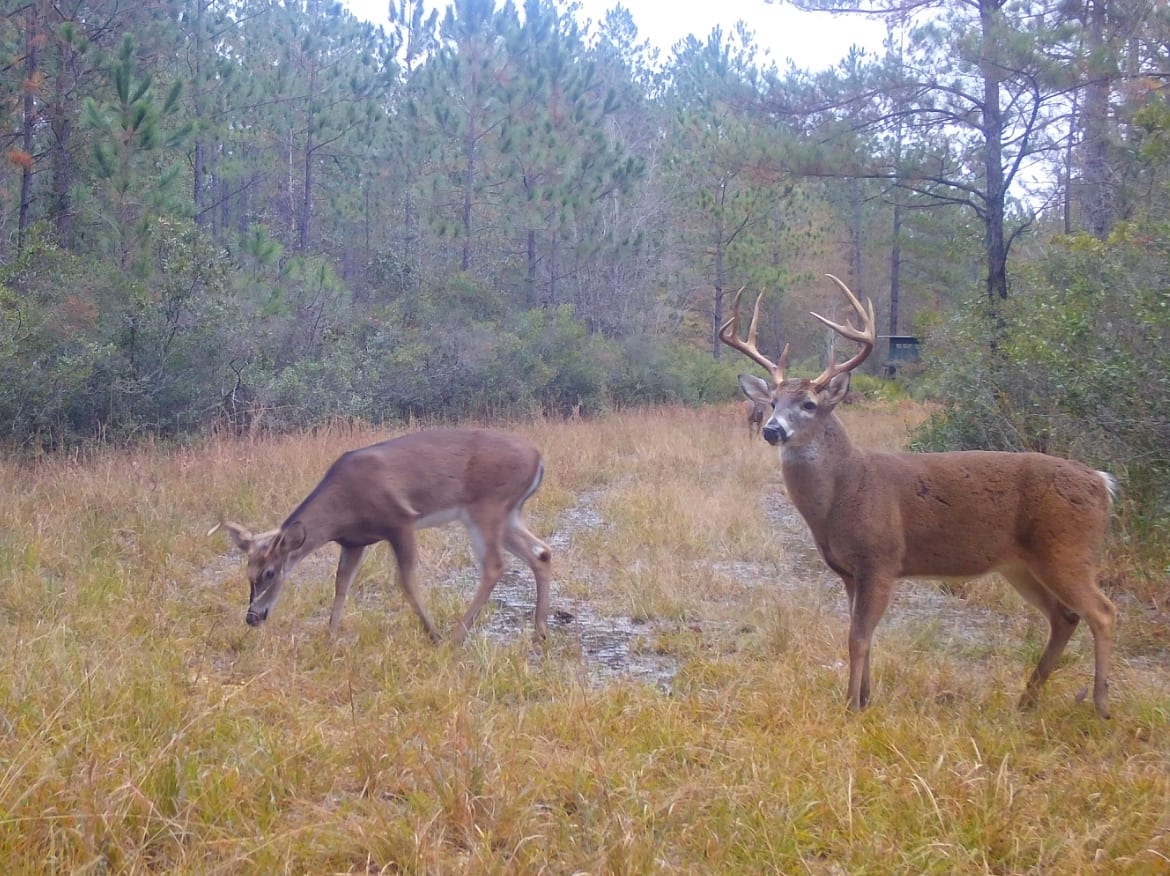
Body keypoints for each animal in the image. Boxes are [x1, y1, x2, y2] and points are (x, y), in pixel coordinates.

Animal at [210, 428, 554, 644]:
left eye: (270, 573)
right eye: (248, 573)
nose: (252, 618)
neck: (343, 508)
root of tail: (539, 459)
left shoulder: (400, 521)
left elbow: (406, 580)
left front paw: (432, 634)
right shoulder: (354, 541)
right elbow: (341, 584)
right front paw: (329, 636)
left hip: (487, 507)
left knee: (495, 565)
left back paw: (456, 636)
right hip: (508, 512)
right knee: (541, 551)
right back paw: (539, 632)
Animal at [720, 275, 1119, 717]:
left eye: (808, 404)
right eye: (772, 402)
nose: (772, 429)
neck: (844, 490)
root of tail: (1102, 482)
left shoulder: (881, 558)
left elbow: (858, 637)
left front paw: (851, 706)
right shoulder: (849, 571)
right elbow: (860, 634)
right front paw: (865, 698)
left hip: (1068, 550)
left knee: (1104, 611)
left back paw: (1101, 704)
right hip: (1021, 565)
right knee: (1064, 616)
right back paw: (1026, 700)